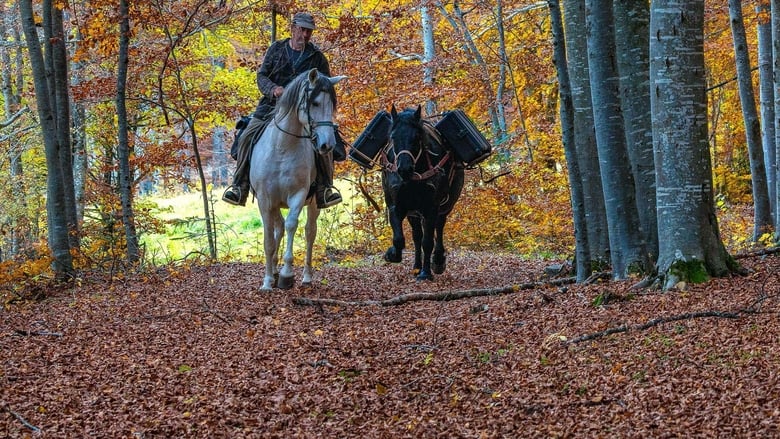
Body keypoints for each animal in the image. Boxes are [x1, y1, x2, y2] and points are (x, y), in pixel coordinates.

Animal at [250, 69, 348, 292]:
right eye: (315, 103)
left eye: (332, 104)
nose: (327, 145)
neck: (282, 148)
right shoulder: (265, 200)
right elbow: (269, 239)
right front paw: (267, 281)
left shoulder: (298, 195)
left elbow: (292, 225)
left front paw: (287, 274)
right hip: (275, 204)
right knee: (278, 228)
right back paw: (274, 272)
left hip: (313, 204)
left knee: (309, 232)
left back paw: (306, 277)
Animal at [382, 105, 464, 280]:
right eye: (392, 137)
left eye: (417, 137)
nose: (404, 168)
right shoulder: (396, 206)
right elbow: (399, 239)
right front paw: (392, 254)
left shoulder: (431, 208)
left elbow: (428, 242)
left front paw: (426, 273)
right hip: (414, 212)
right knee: (417, 236)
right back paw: (417, 266)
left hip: (445, 206)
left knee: (438, 227)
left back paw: (437, 261)